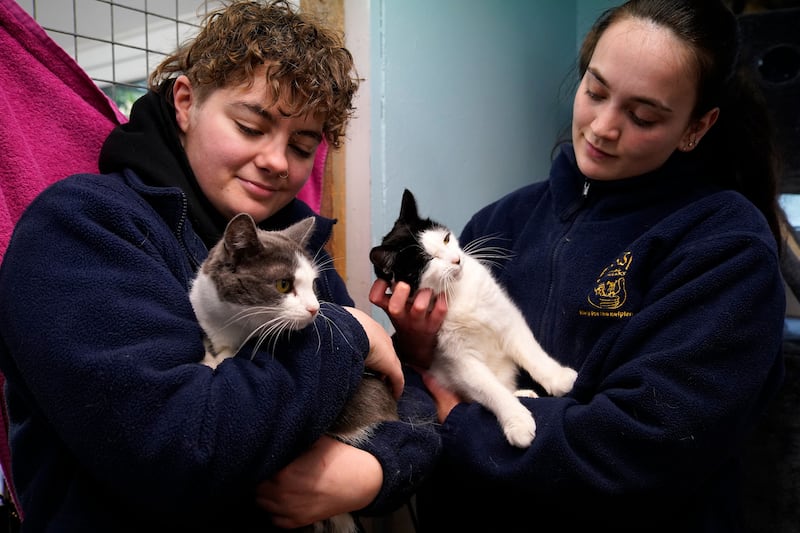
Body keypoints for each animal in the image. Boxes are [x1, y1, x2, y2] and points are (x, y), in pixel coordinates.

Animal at [188, 212, 400, 532]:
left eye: (313, 284)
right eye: (283, 285)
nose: (314, 309)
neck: (235, 326)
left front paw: (212, 360)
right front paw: (210, 353)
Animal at [368, 189, 576, 446]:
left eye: (446, 239)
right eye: (428, 260)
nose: (457, 260)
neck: (456, 293)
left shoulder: (508, 319)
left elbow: (531, 352)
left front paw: (558, 378)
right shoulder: (460, 360)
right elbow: (491, 390)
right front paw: (517, 420)